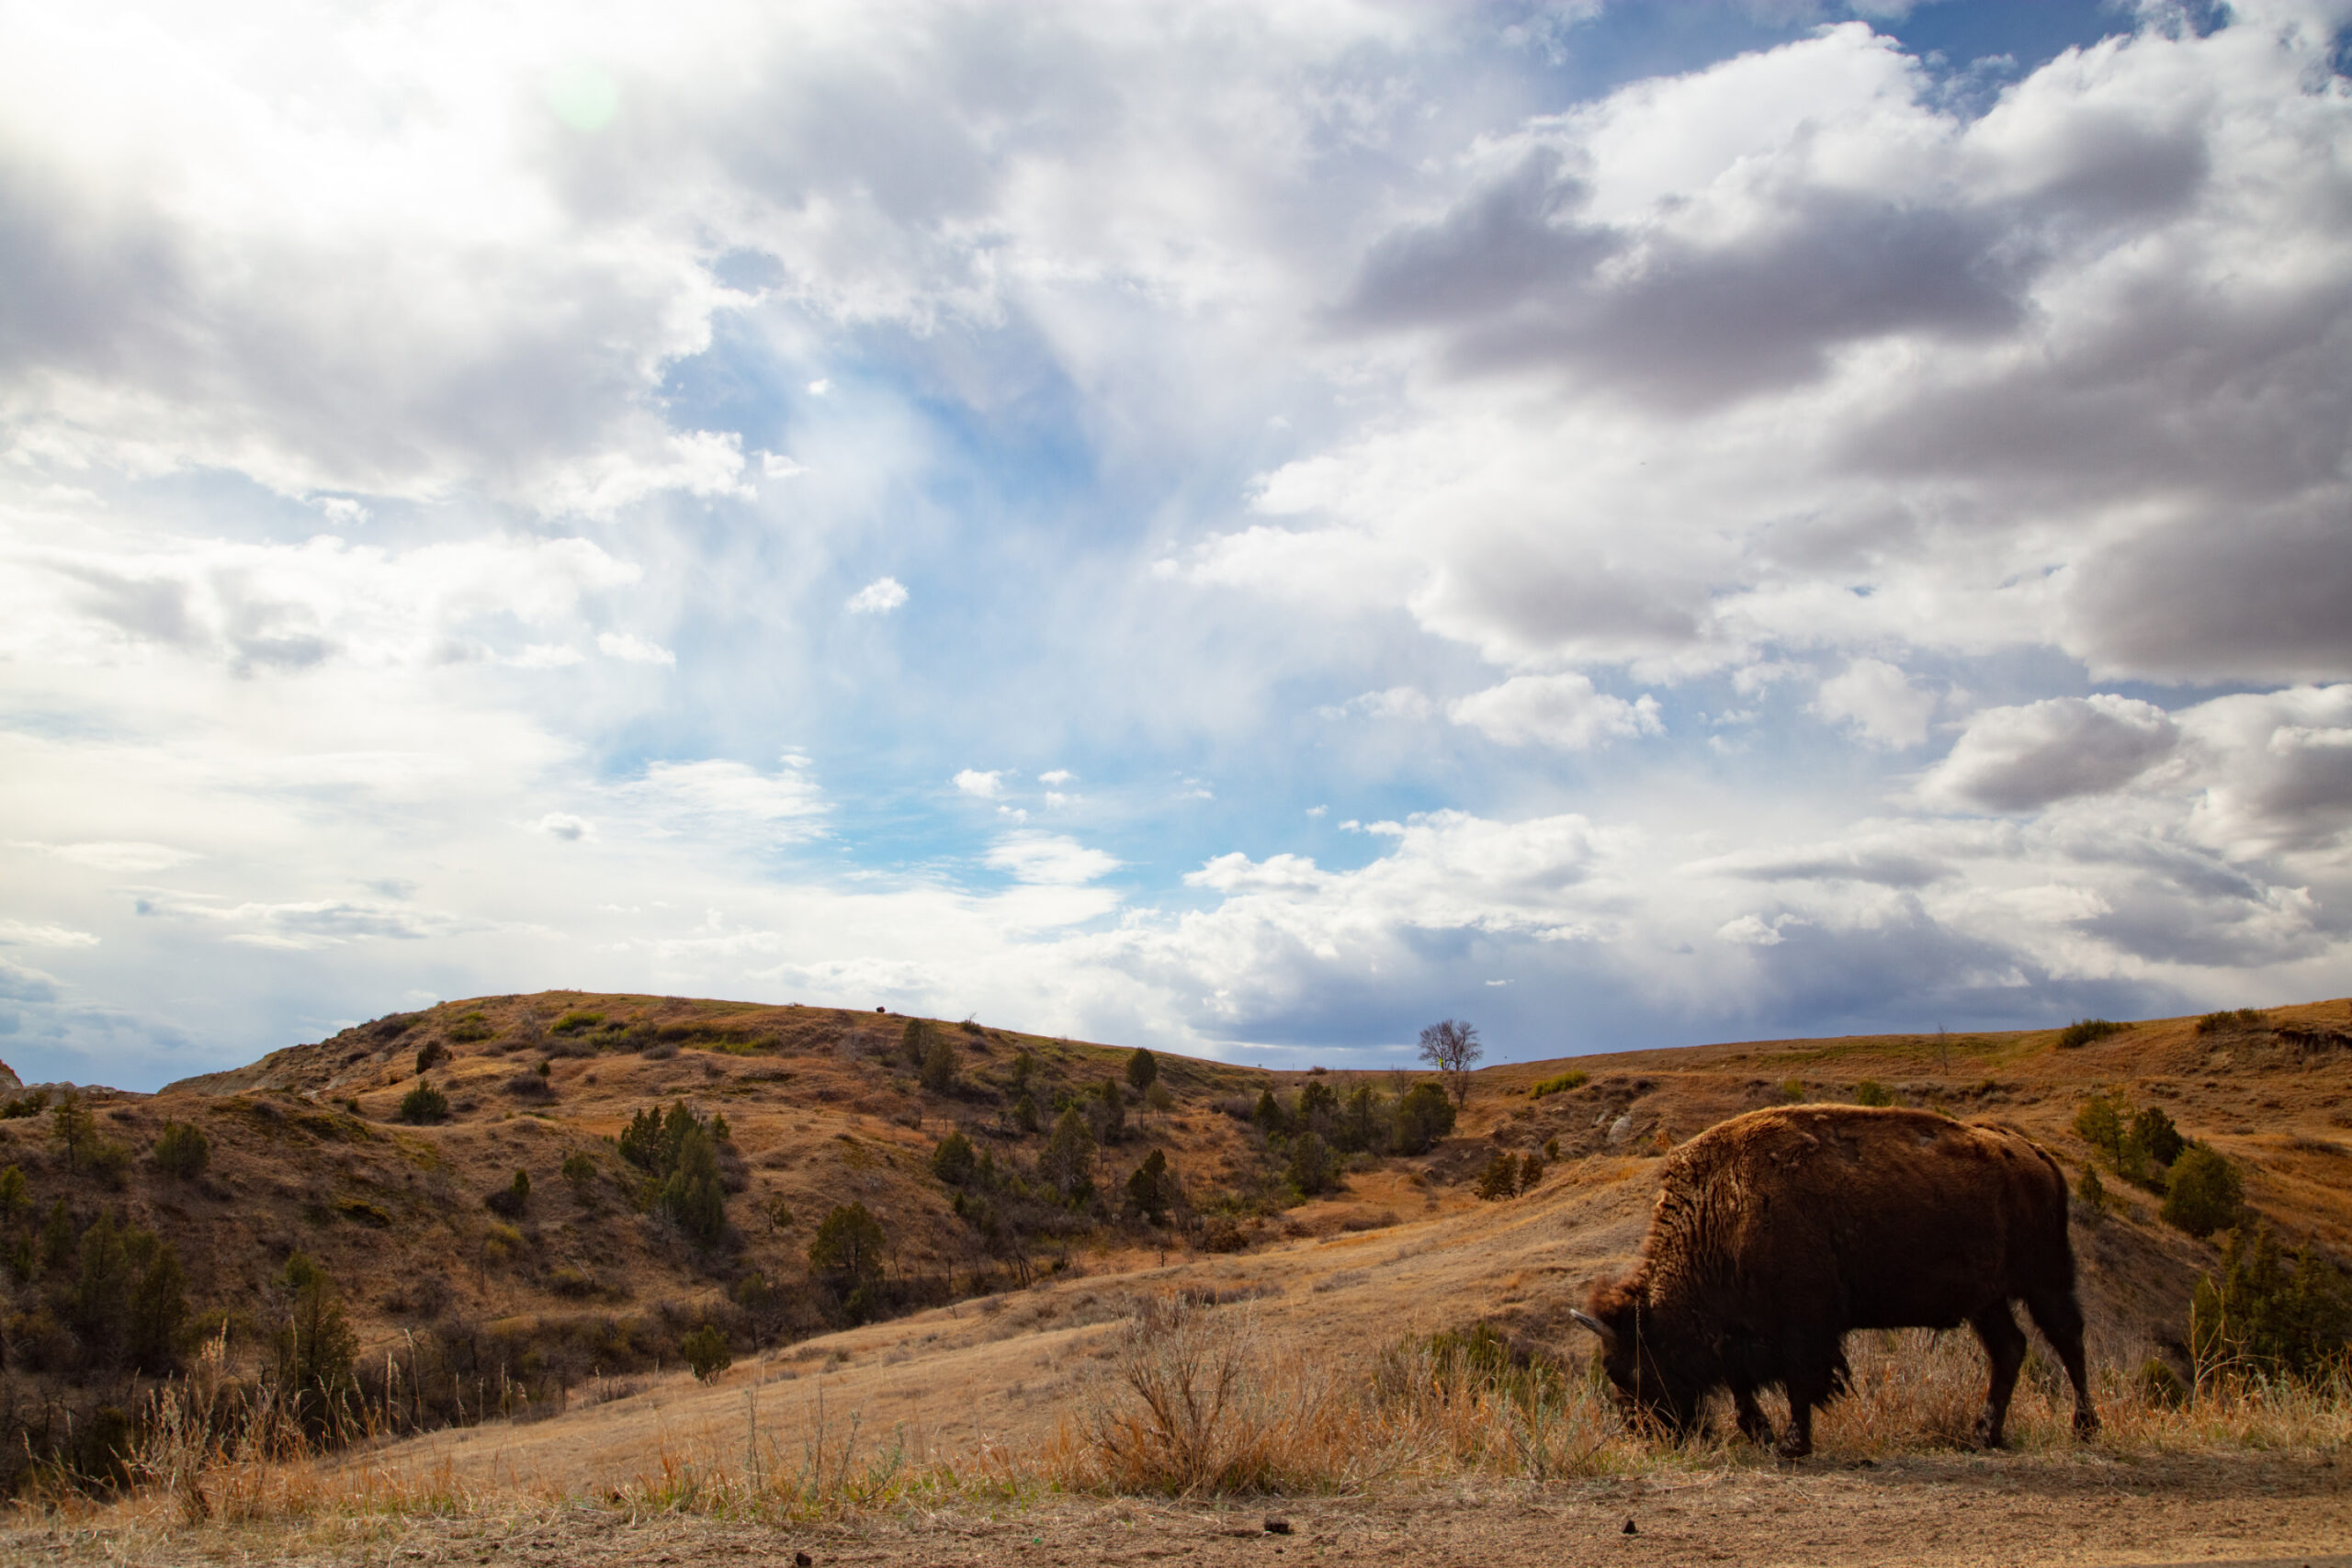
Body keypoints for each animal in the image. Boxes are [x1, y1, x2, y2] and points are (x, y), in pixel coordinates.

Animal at [1580, 1104, 2098, 1457]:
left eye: (1626, 1370)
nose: (1643, 1433)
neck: (1723, 1209)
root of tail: (2037, 1155)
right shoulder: (1741, 1333)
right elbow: (1744, 1383)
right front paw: (1763, 1434)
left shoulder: (1803, 1325)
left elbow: (1799, 1381)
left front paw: (1792, 1444)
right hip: (1987, 1300)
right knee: (2009, 1348)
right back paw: (1984, 1433)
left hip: (2045, 1281)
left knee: (2068, 1341)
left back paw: (2084, 1428)